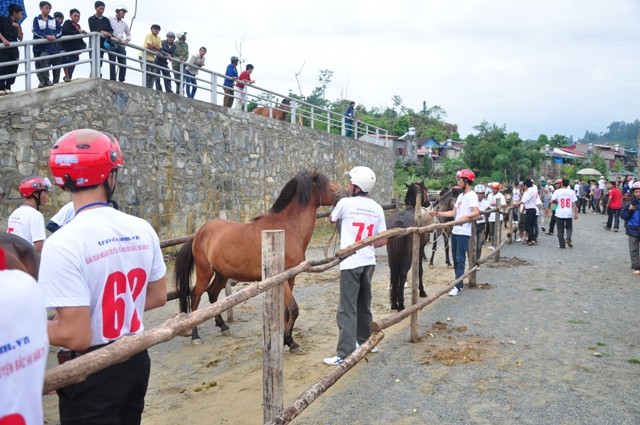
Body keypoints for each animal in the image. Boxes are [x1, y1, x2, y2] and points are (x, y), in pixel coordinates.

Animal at [172, 169, 342, 352]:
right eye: (326, 184)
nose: (345, 192)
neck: (286, 229)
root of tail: (199, 233)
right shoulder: (280, 277)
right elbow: (293, 309)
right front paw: (290, 341)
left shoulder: (290, 277)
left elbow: (286, 311)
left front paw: (287, 341)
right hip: (205, 272)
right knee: (196, 297)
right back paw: (195, 336)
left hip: (222, 273)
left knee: (212, 294)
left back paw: (223, 326)